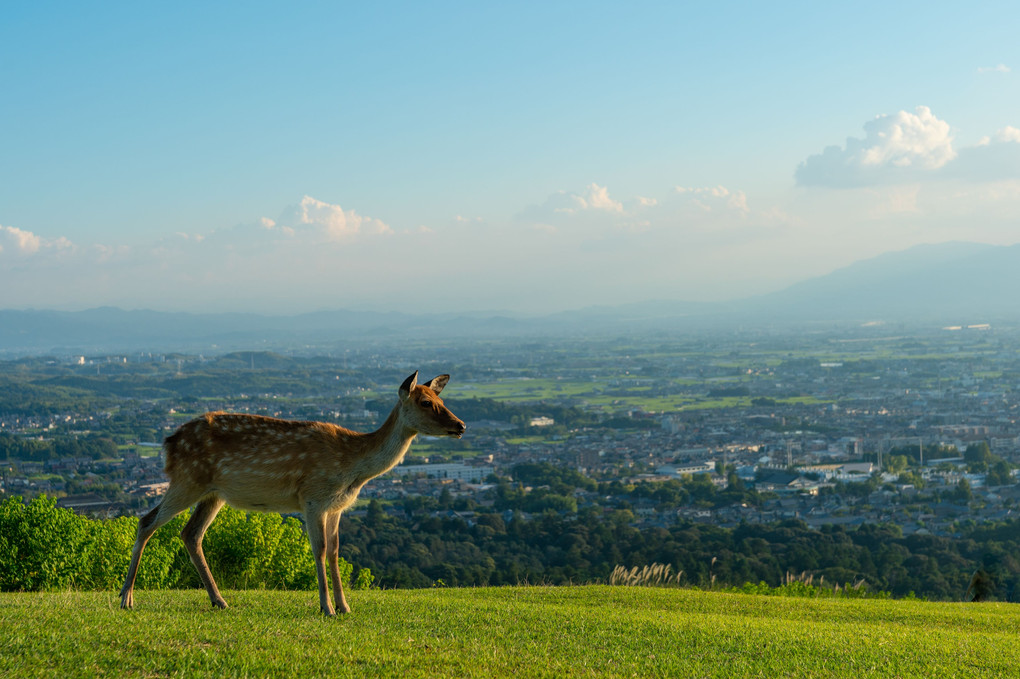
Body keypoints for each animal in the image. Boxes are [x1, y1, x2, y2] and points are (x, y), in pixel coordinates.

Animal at [119, 371, 467, 611]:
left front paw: (345, 606)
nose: (461, 425)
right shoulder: (312, 497)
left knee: (190, 533)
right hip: (186, 480)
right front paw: (326, 608)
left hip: (213, 493)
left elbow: (337, 552)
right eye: (425, 402)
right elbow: (320, 550)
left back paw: (219, 600)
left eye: (442, 401)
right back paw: (126, 598)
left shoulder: (337, 506)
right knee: (146, 521)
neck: (353, 468)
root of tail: (168, 443)